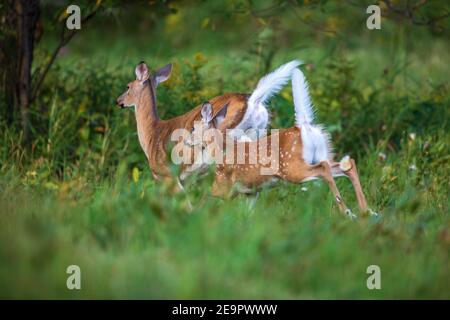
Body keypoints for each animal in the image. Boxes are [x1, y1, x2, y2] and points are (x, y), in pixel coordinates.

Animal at [116, 60, 300, 188]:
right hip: (257, 131)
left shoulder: (167, 175)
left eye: (128, 86)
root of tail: (253, 100)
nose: (118, 101)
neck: (152, 134)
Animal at [190, 67, 376, 218]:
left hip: (292, 168)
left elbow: (203, 199)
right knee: (347, 165)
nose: (188, 139)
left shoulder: (224, 186)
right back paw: (366, 212)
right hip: (319, 155)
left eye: (193, 128)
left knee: (324, 168)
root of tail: (303, 127)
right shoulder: (251, 192)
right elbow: (247, 215)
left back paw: (347, 212)